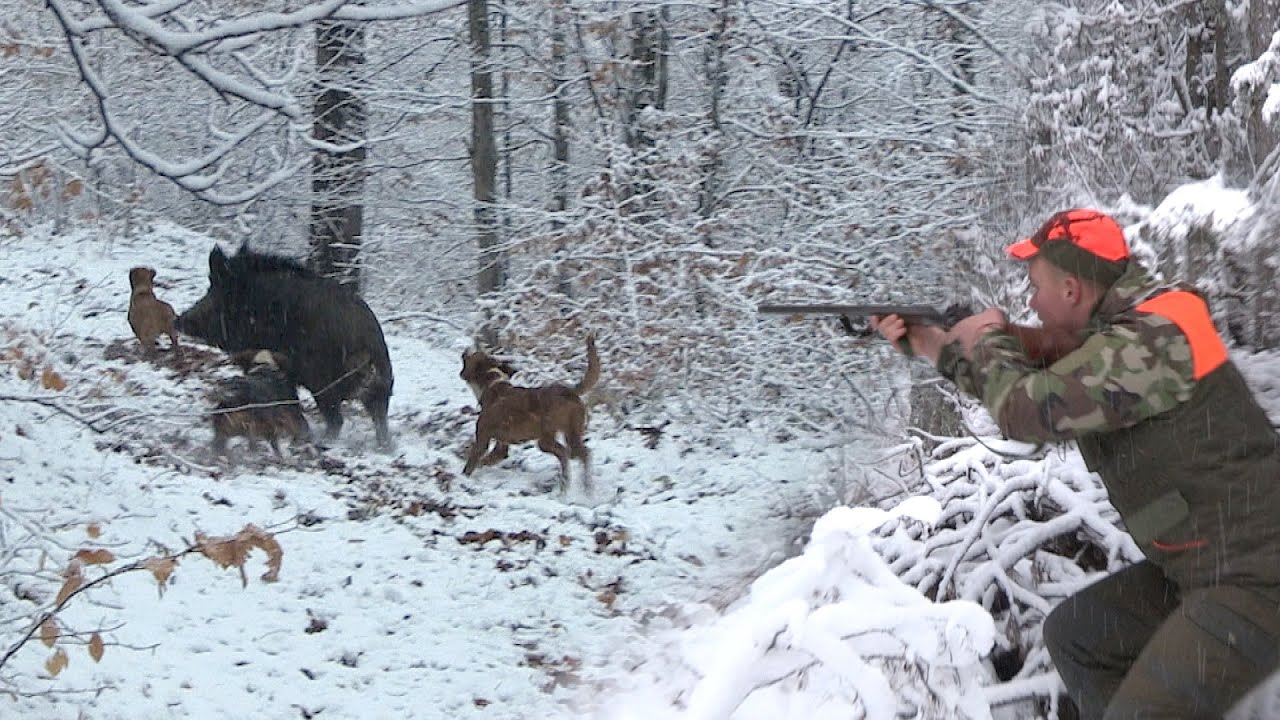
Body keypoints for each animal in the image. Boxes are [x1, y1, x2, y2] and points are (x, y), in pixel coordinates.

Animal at [177, 244, 394, 449]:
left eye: (215, 292)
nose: (179, 320)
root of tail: (367, 348)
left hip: (323, 384)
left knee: (336, 420)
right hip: (382, 389)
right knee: (380, 424)